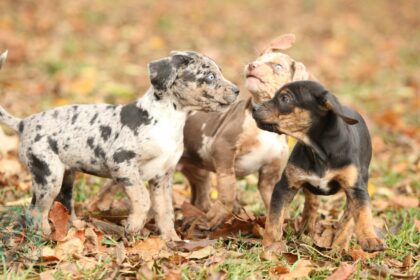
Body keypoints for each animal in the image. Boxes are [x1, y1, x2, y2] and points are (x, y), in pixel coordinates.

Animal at [0, 50, 240, 241]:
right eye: (210, 76)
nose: (238, 90)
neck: (167, 121)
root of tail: (24, 123)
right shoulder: (122, 164)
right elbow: (142, 199)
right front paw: (133, 226)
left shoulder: (163, 177)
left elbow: (165, 211)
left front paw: (172, 240)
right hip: (48, 175)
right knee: (36, 210)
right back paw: (44, 236)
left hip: (65, 176)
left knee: (60, 204)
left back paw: (73, 228)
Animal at [251, 80, 386, 252]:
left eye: (285, 98)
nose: (254, 107)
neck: (318, 150)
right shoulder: (285, 186)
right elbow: (274, 219)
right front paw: (270, 246)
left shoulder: (357, 188)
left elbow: (363, 213)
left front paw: (370, 239)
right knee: (312, 202)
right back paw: (306, 227)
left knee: (348, 217)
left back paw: (340, 245)